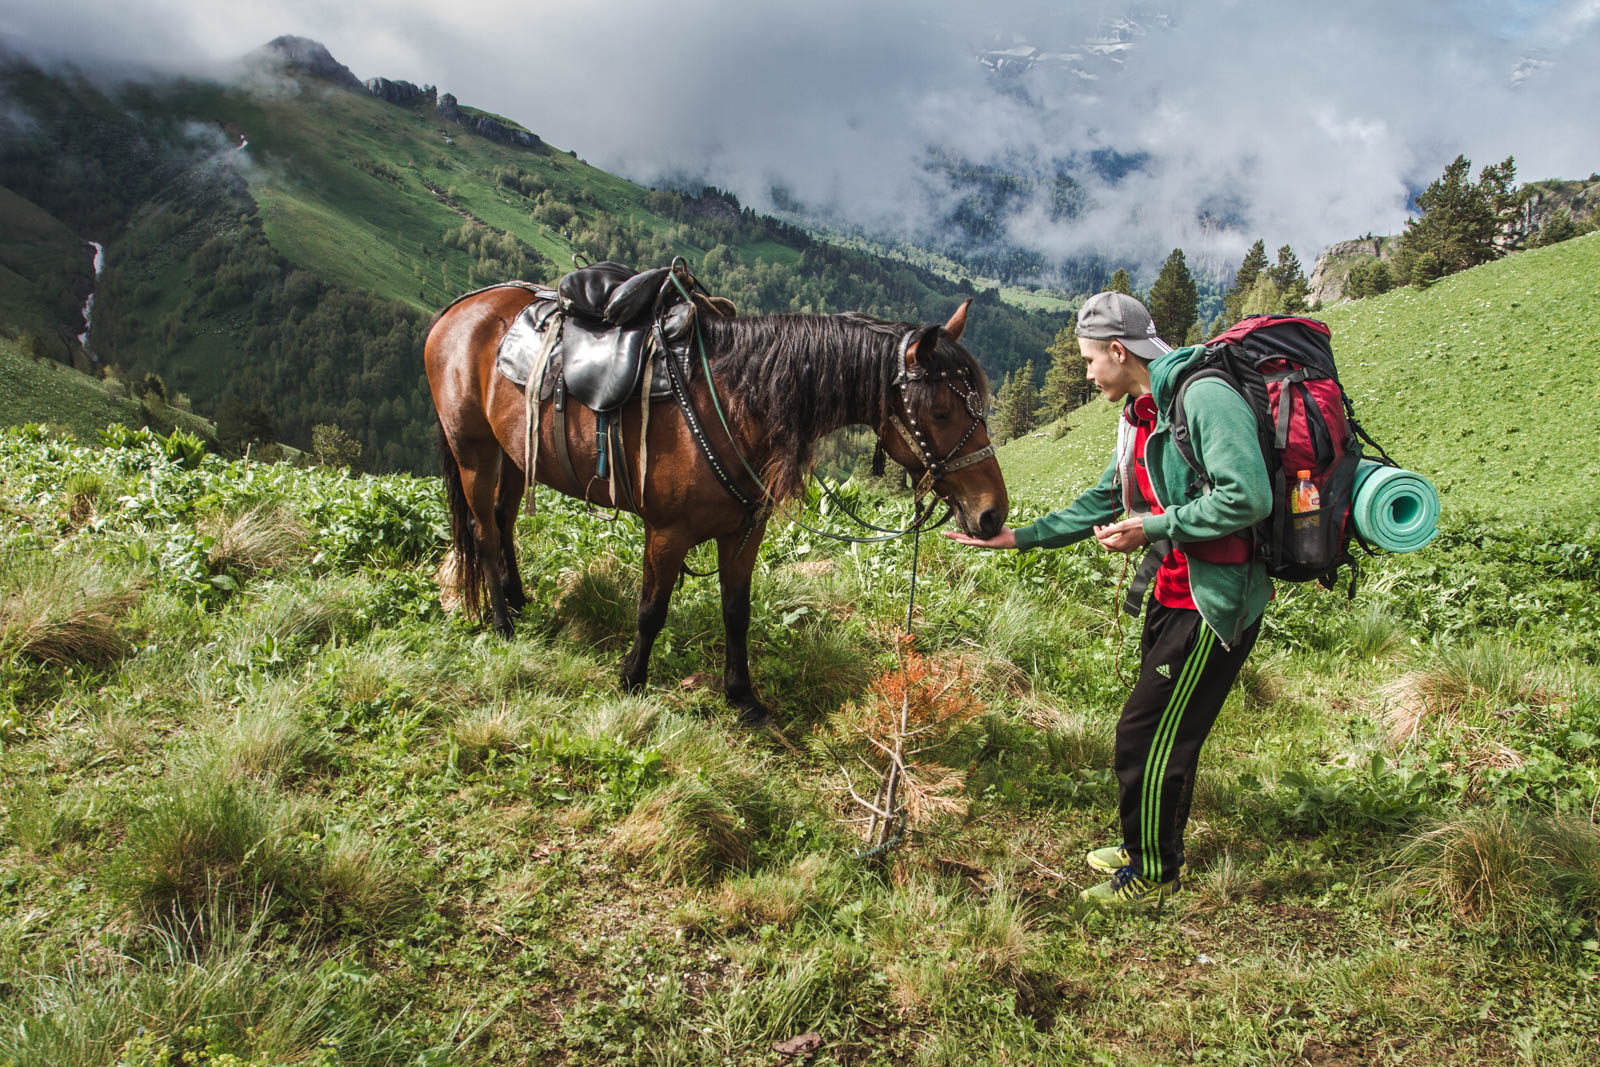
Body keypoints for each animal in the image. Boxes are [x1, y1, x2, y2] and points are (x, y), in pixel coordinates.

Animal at [422, 287, 998, 726]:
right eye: (941, 412)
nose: (992, 513)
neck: (736, 404)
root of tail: (460, 308)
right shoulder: (666, 534)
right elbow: (651, 611)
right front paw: (631, 681)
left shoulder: (743, 533)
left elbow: (736, 612)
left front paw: (743, 697)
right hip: (474, 451)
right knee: (484, 531)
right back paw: (502, 622)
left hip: (514, 453)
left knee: (504, 521)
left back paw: (518, 600)